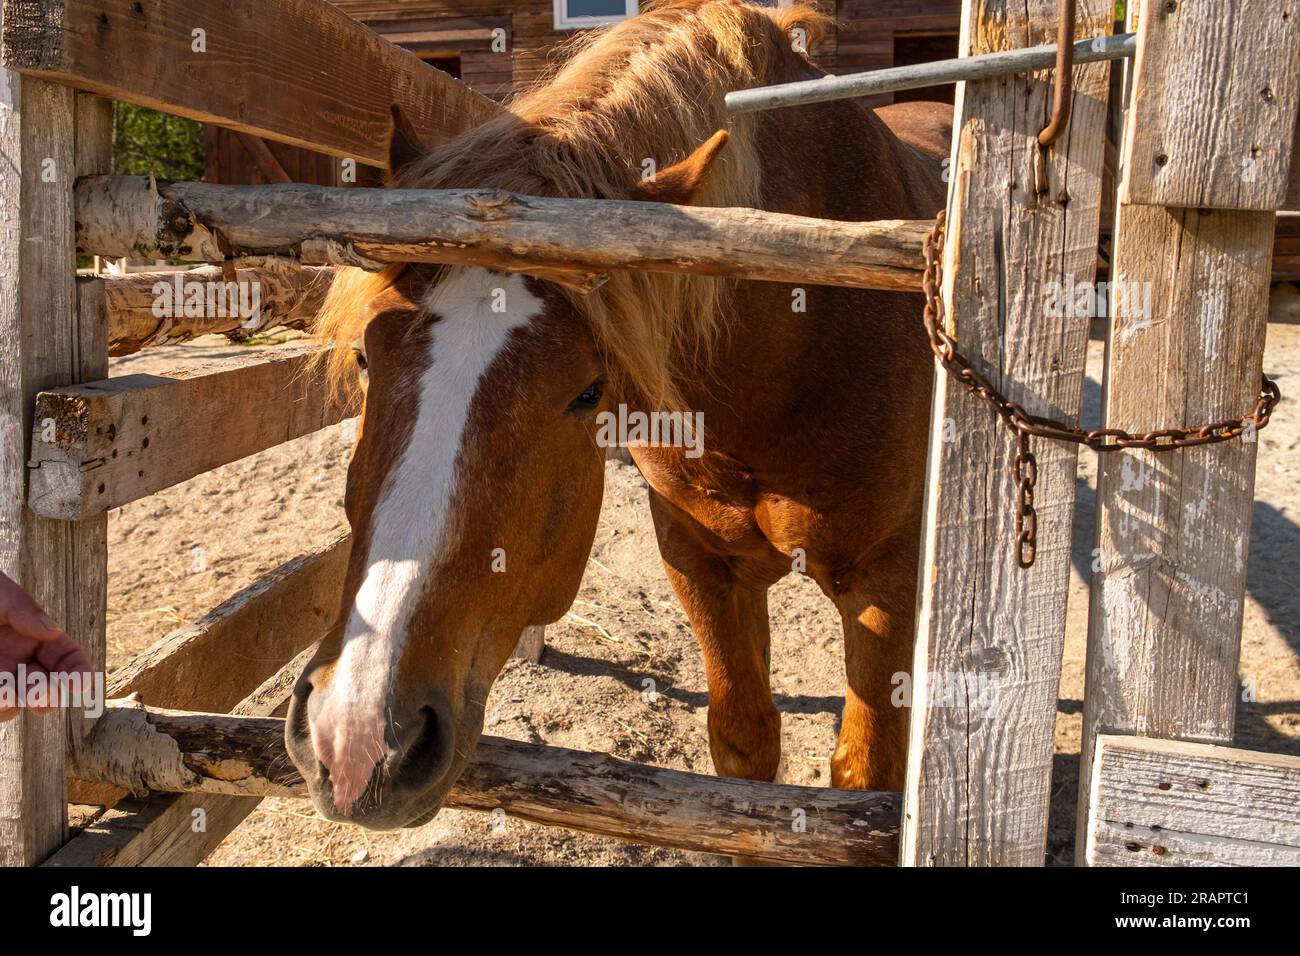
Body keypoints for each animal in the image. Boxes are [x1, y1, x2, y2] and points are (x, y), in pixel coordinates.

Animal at [285, 0, 947, 829]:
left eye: (587, 391)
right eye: (368, 356)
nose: (356, 736)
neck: (804, 329)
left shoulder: (883, 584)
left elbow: (865, 775)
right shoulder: (700, 563)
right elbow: (744, 744)